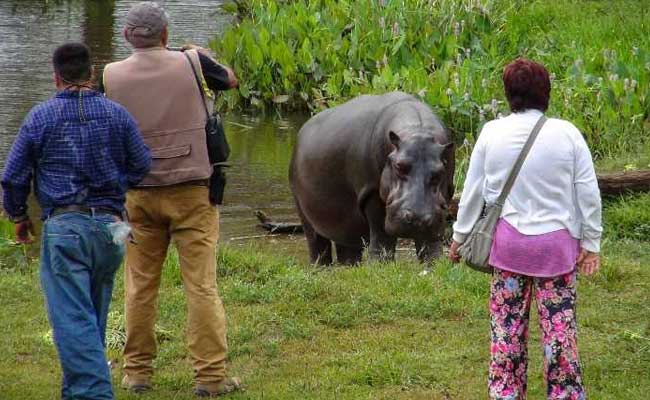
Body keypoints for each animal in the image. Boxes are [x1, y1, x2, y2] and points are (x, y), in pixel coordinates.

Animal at [286, 92, 454, 264]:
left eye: (441, 170)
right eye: (398, 165)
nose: (418, 218)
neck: (417, 131)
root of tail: (302, 129)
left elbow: (429, 241)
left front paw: (434, 263)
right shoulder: (372, 192)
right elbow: (381, 236)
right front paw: (380, 264)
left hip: (345, 222)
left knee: (347, 249)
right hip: (303, 210)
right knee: (317, 244)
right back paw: (319, 266)